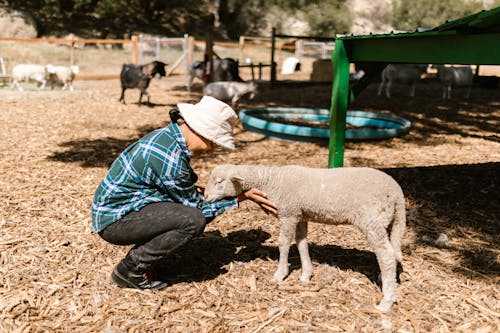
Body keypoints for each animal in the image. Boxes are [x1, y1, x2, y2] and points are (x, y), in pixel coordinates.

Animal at [205, 163, 408, 312]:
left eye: (220, 181)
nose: (205, 196)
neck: (271, 180)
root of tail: (397, 193)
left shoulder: (288, 213)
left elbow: (284, 243)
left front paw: (280, 274)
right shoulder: (300, 215)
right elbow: (301, 243)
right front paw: (306, 274)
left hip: (372, 220)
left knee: (386, 255)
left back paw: (386, 301)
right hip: (389, 221)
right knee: (391, 252)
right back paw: (387, 280)